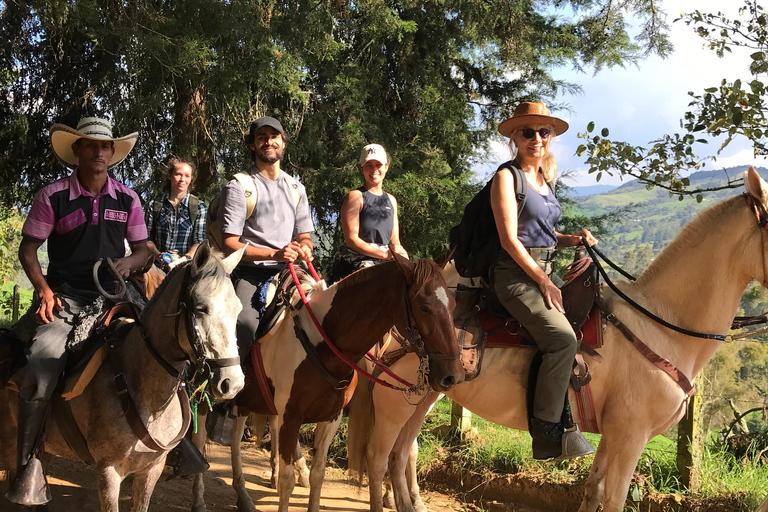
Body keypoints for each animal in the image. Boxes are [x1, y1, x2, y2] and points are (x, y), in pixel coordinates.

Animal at [190, 253, 462, 512]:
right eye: (425, 308)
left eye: (453, 305)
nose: (453, 375)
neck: (321, 343)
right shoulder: (291, 417)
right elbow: (288, 481)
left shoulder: (331, 418)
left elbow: (318, 475)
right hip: (209, 397)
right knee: (201, 439)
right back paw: (200, 499)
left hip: (248, 403)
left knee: (237, 440)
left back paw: (244, 495)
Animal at [348, 170, 768, 512]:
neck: (661, 326)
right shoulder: (630, 436)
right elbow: (613, 499)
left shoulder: (612, 436)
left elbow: (594, 492)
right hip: (394, 403)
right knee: (380, 457)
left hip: (424, 396)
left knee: (402, 454)